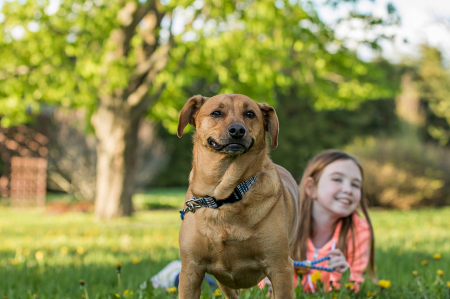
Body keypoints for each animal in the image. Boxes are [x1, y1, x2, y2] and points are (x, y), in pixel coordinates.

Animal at [178, 94, 300, 299]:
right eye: (216, 113)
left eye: (250, 114)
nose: (237, 130)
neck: (225, 197)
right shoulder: (190, 270)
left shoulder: (280, 267)